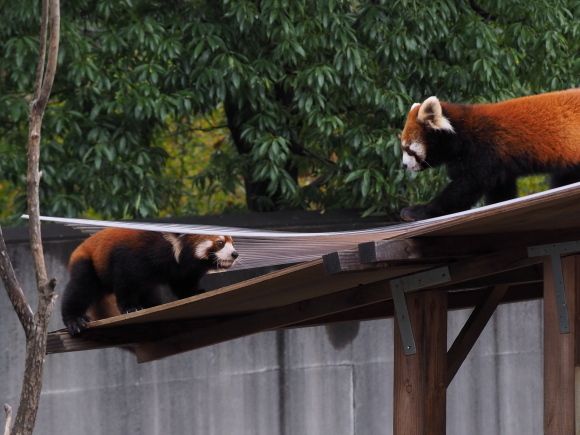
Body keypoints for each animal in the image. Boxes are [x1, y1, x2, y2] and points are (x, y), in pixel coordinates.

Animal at [61, 230, 238, 336]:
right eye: (220, 243)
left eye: (232, 242)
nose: (235, 254)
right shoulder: (132, 256)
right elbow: (126, 283)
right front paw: (130, 307)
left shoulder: (183, 270)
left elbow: (183, 284)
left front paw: (194, 292)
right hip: (88, 263)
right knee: (80, 288)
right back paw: (74, 319)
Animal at [398, 90, 580, 223]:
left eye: (408, 149)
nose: (405, 165)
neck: (463, 132)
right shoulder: (500, 165)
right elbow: (500, 191)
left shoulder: (484, 152)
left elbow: (465, 187)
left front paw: (419, 211)